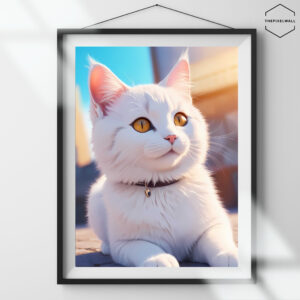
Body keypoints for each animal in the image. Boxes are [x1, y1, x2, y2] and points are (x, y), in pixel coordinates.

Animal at [87, 52, 239, 268]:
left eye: (180, 119)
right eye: (141, 124)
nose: (171, 136)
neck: (162, 188)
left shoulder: (215, 222)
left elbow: (216, 237)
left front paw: (229, 254)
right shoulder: (124, 244)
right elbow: (144, 247)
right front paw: (158, 259)